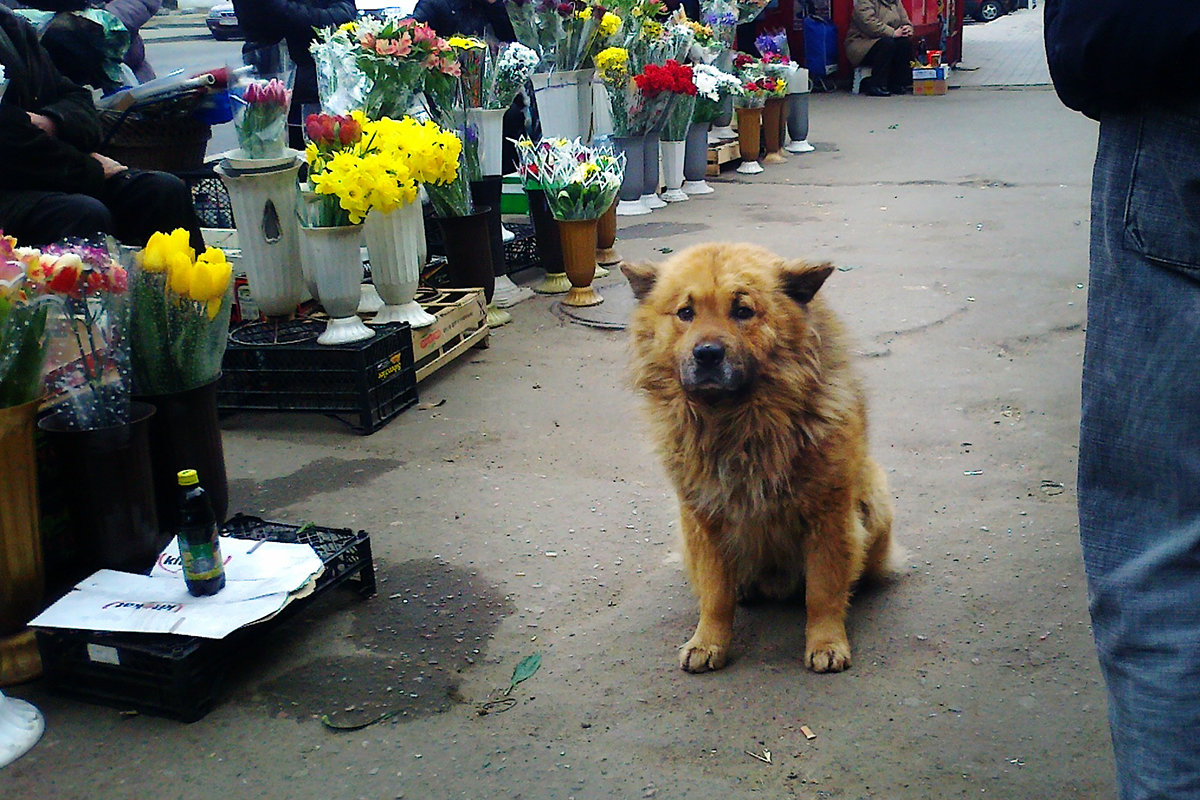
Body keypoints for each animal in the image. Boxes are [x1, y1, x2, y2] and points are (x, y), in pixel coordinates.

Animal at [624, 241, 897, 671]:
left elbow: (822, 591)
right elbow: (715, 593)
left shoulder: (828, 515)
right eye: (686, 313)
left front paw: (826, 643)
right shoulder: (704, 520)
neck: (736, 425)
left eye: (742, 310)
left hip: (876, 500)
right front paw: (708, 642)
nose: (707, 354)